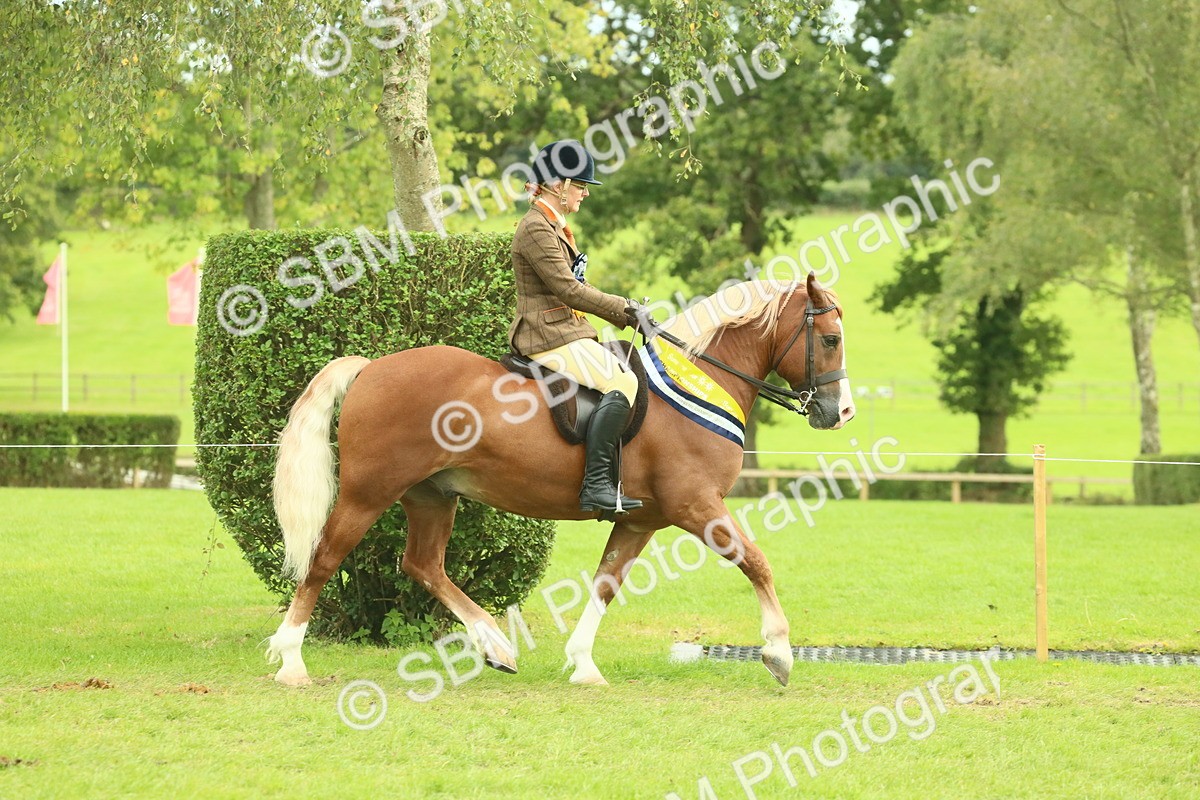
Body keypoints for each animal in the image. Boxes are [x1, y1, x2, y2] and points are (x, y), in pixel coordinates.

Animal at [266, 272, 854, 688]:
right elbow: (756, 562)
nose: (841, 412)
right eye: (829, 340)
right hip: (368, 493)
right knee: (324, 560)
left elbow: (606, 583)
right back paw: (291, 661)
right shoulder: (696, 506)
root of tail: (371, 367)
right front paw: (778, 653)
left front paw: (583, 664)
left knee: (423, 565)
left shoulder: (642, 521)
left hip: (431, 496)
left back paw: (496, 646)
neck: (699, 381)